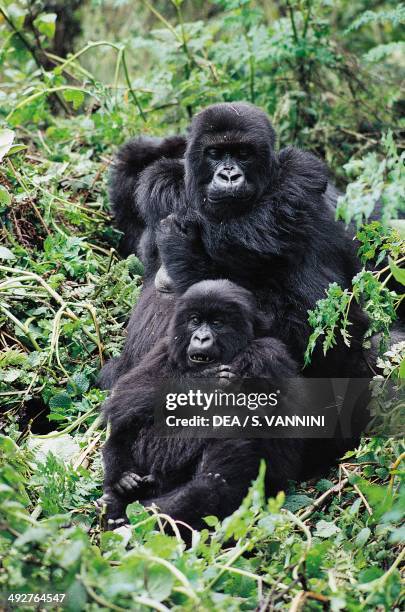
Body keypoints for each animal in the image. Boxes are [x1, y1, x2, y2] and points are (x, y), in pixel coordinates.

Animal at [98, 280, 306, 532]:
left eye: (217, 323)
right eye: (195, 320)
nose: (201, 338)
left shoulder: (267, 355)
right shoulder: (165, 347)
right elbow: (129, 392)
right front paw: (202, 378)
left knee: (215, 482)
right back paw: (122, 482)